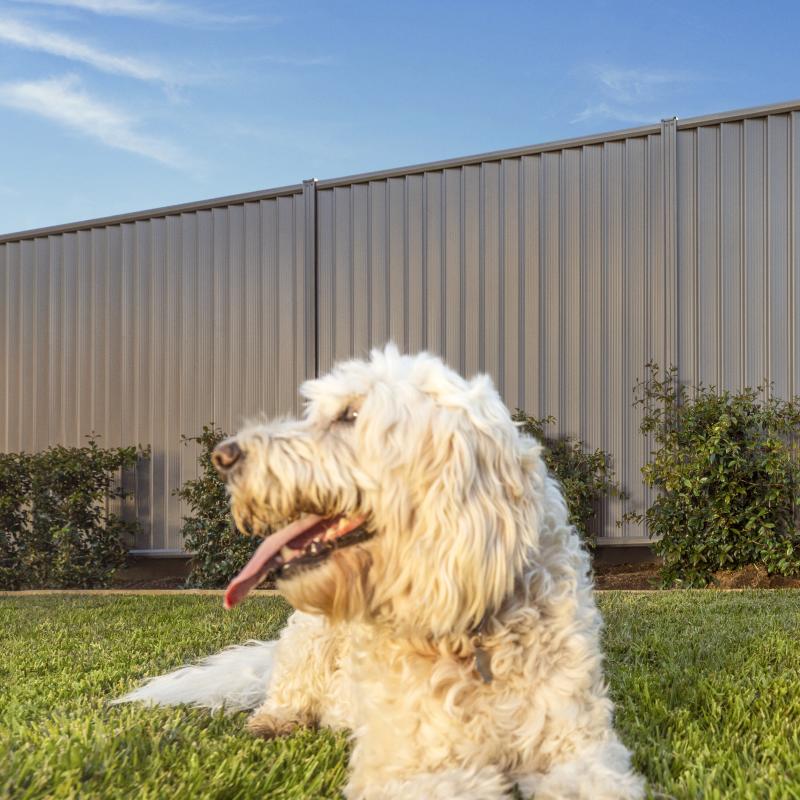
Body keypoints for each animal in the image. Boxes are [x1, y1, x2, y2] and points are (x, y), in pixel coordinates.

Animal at [117, 346, 644, 800]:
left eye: (350, 416)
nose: (223, 456)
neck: (472, 626)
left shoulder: (580, 751)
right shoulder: (417, 770)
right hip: (308, 638)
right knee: (287, 690)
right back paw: (276, 719)